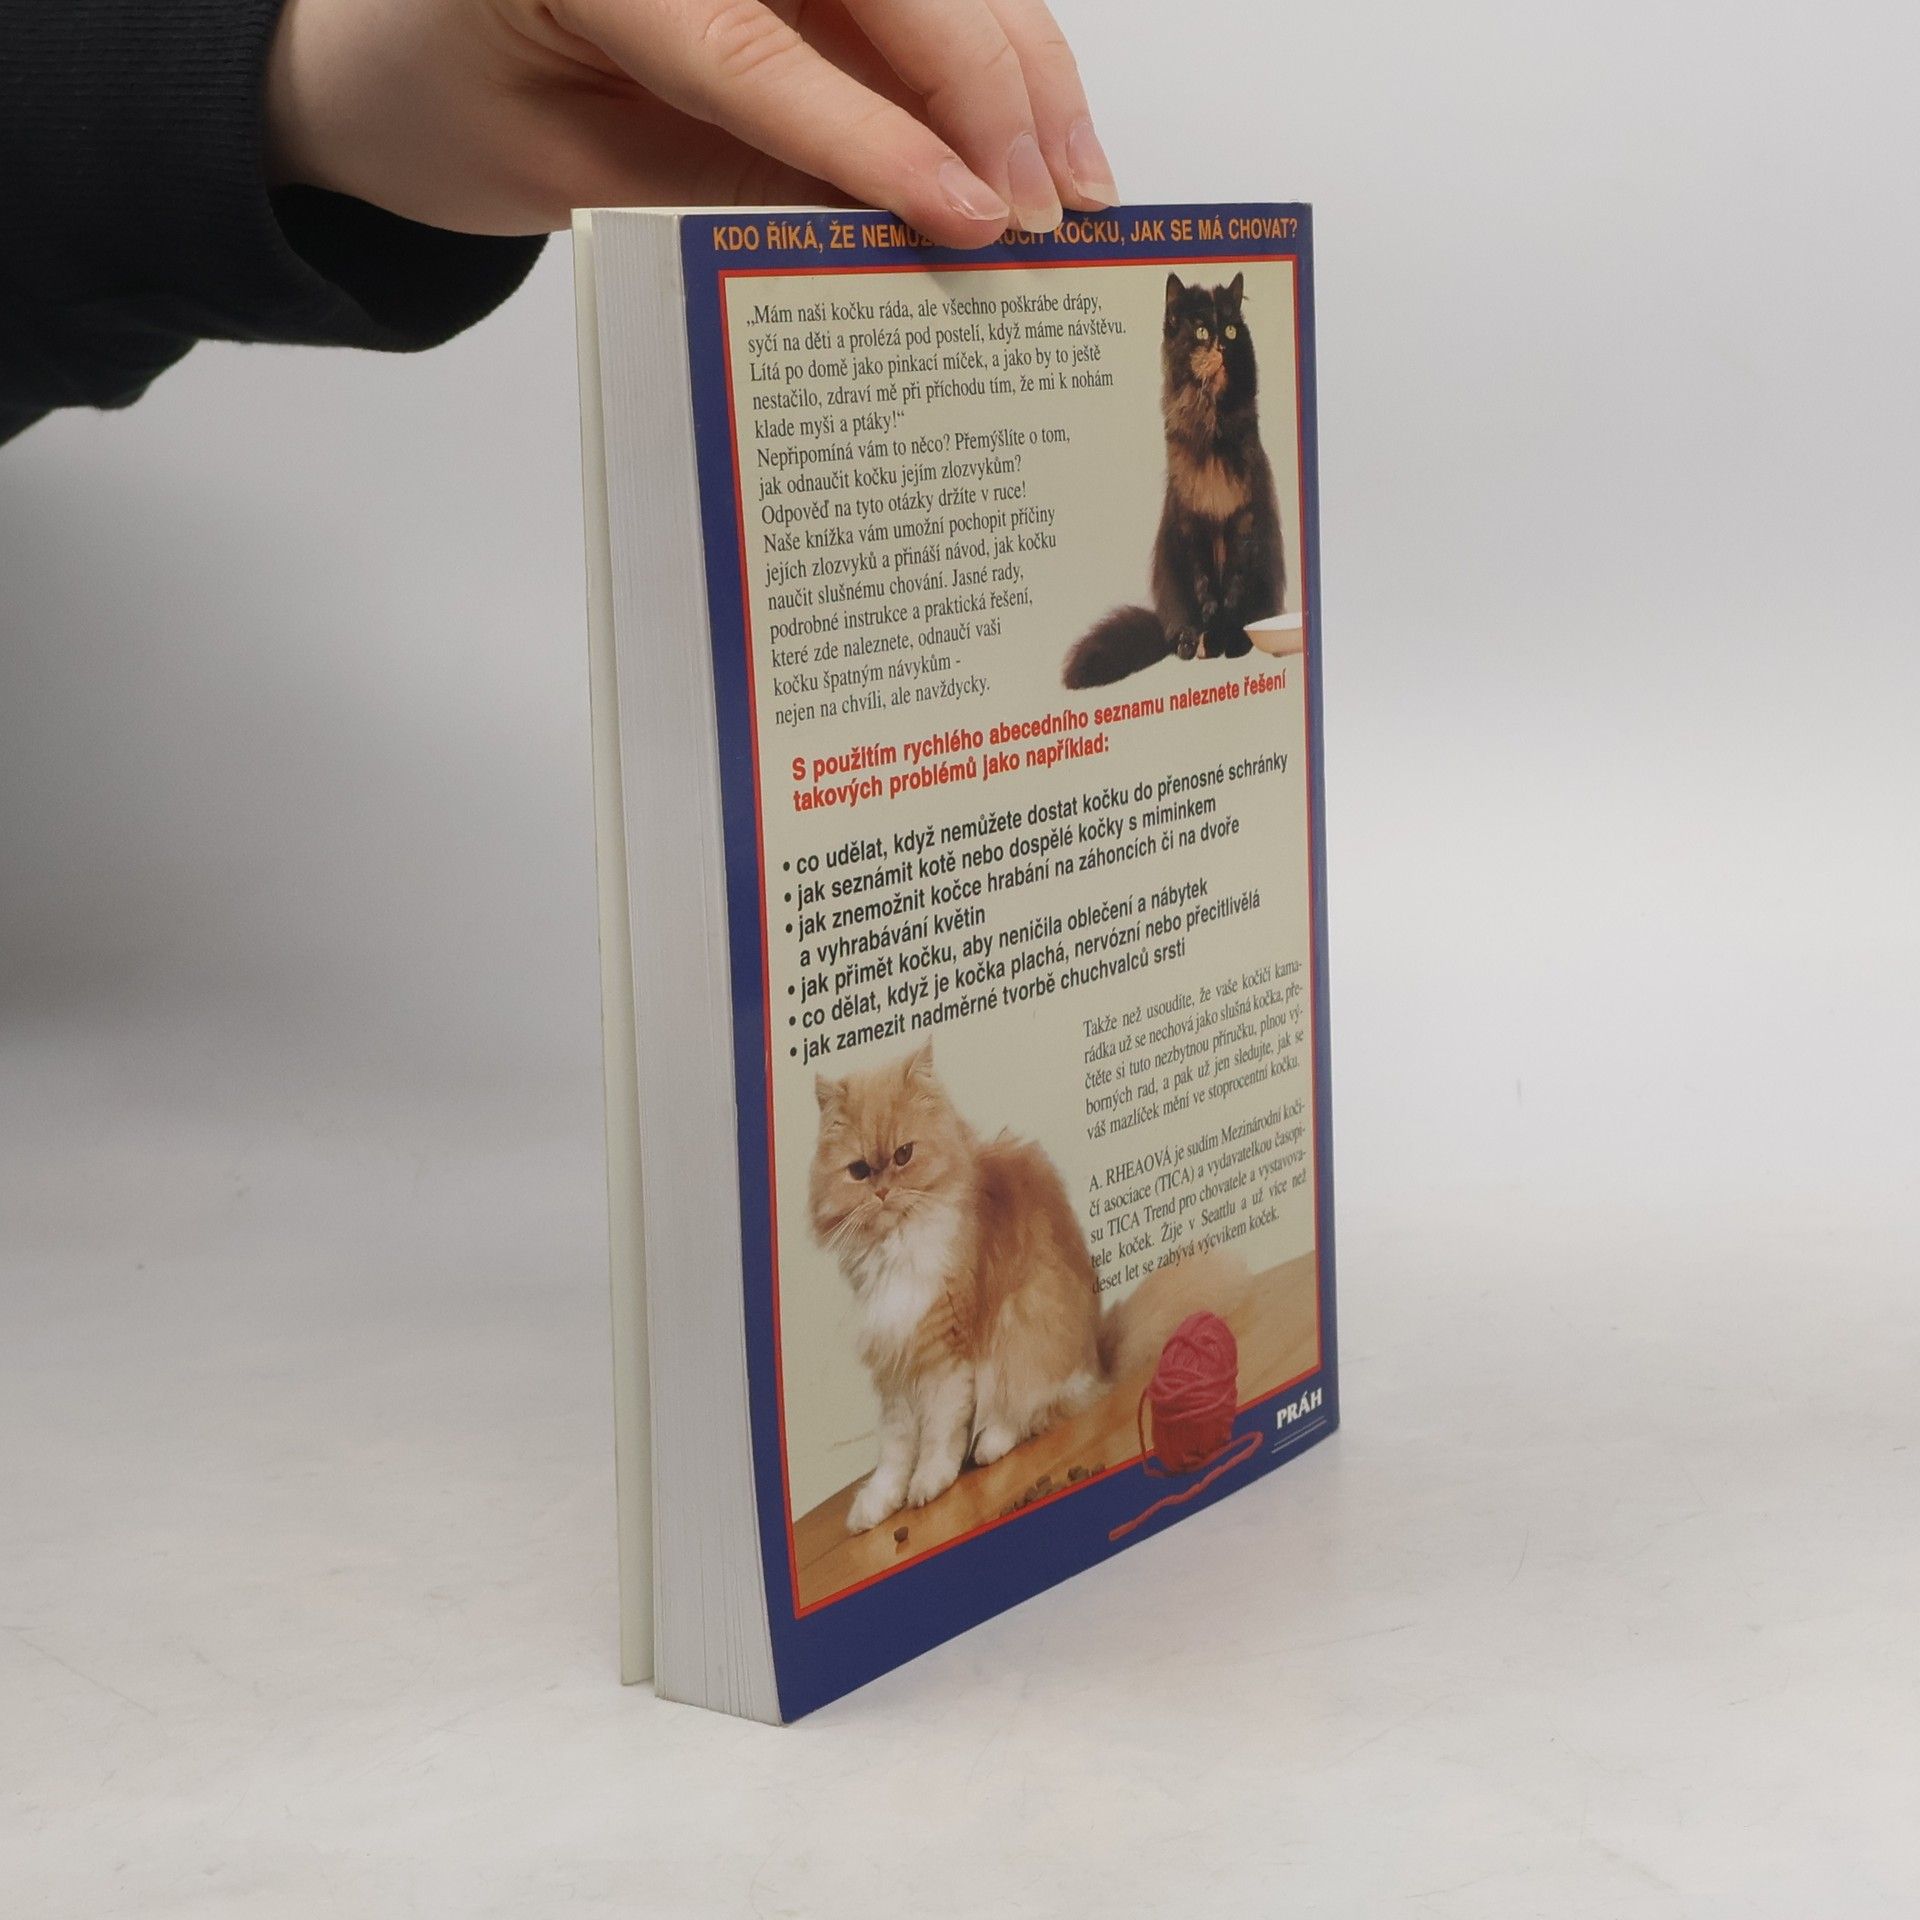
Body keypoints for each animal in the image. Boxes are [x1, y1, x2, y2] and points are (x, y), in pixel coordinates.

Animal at [811, 1041, 1251, 1533]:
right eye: (859, 1170)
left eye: (904, 1155)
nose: (882, 1192)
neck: (896, 1250)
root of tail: (1100, 1358)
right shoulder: (895, 1362)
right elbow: (894, 1451)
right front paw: (878, 1505)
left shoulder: (946, 1354)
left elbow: (939, 1435)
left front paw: (929, 1483)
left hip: (1021, 1334)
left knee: (1032, 1413)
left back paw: (989, 1445)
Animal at [1062, 273, 1286, 688]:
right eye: (1201, 331)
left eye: (1231, 330)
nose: (1220, 346)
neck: (1211, 424)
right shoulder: (1193, 525)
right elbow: (1206, 592)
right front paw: (1211, 638)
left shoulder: (1242, 522)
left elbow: (1232, 591)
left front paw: (1232, 641)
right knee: (1181, 622)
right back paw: (1187, 643)